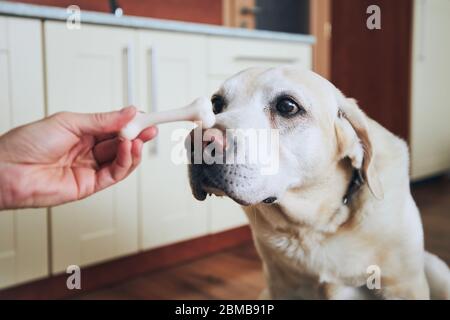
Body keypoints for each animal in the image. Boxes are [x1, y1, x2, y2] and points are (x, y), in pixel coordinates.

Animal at [186, 66, 450, 298]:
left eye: (287, 106)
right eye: (216, 104)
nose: (198, 141)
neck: (314, 226)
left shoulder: (405, 286)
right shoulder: (281, 287)